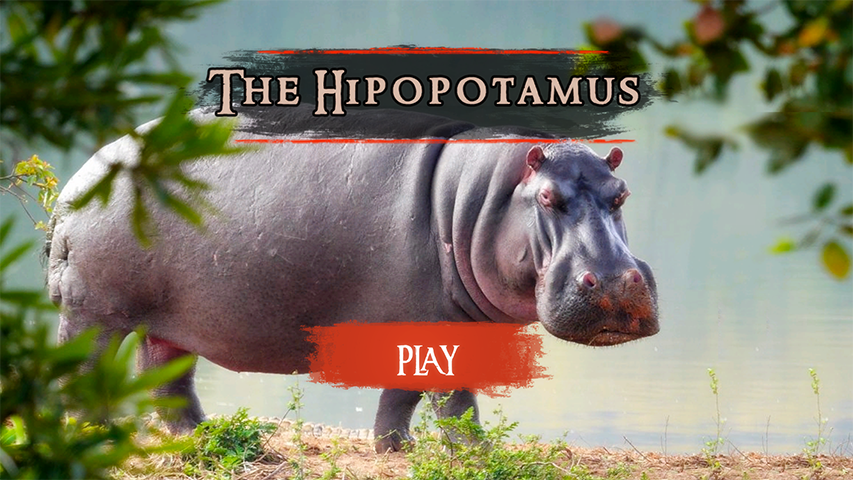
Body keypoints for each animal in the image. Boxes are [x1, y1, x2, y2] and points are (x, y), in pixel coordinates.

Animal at [46, 105, 659, 453]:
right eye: (548, 198)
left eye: (622, 193)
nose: (617, 283)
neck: (485, 196)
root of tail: (79, 179)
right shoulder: (429, 322)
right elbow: (445, 399)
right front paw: (465, 455)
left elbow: (413, 396)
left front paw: (407, 450)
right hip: (94, 312)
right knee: (82, 370)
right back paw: (89, 434)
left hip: (170, 323)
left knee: (168, 381)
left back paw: (201, 437)